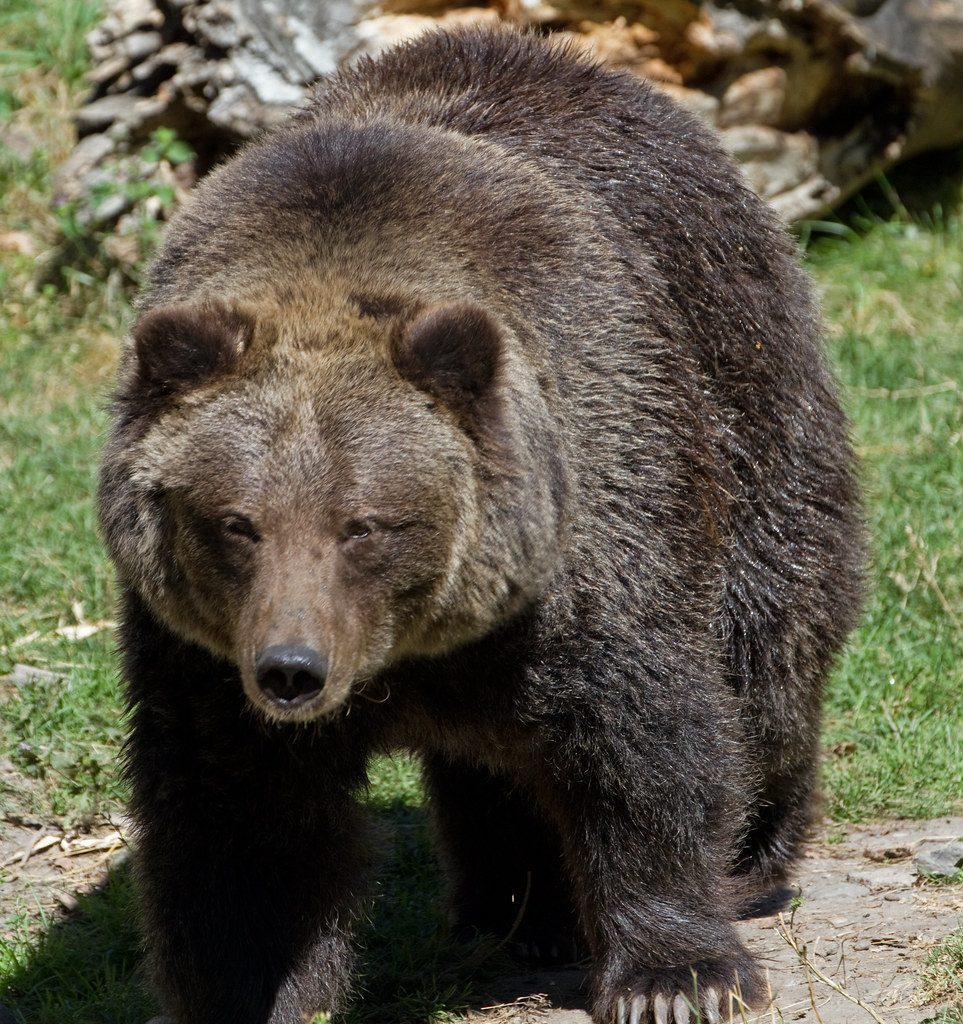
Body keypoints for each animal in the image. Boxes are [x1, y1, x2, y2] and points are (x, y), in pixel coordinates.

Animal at [98, 25, 864, 1024]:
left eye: (365, 523)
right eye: (237, 522)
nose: (293, 669)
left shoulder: (592, 522)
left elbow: (643, 742)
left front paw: (677, 975)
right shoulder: (201, 653)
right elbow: (242, 821)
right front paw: (250, 988)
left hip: (746, 394)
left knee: (768, 655)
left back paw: (751, 857)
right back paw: (521, 909)